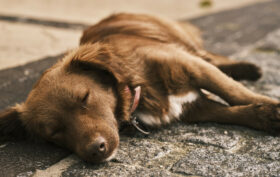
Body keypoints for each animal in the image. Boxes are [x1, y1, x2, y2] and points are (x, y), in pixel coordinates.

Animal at [0, 12, 280, 163]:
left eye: (84, 98)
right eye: (54, 132)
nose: (95, 151)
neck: (136, 87)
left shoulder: (191, 65)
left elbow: (234, 92)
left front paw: (271, 105)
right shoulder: (194, 107)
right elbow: (231, 111)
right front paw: (265, 116)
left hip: (183, 41)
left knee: (211, 56)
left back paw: (248, 68)